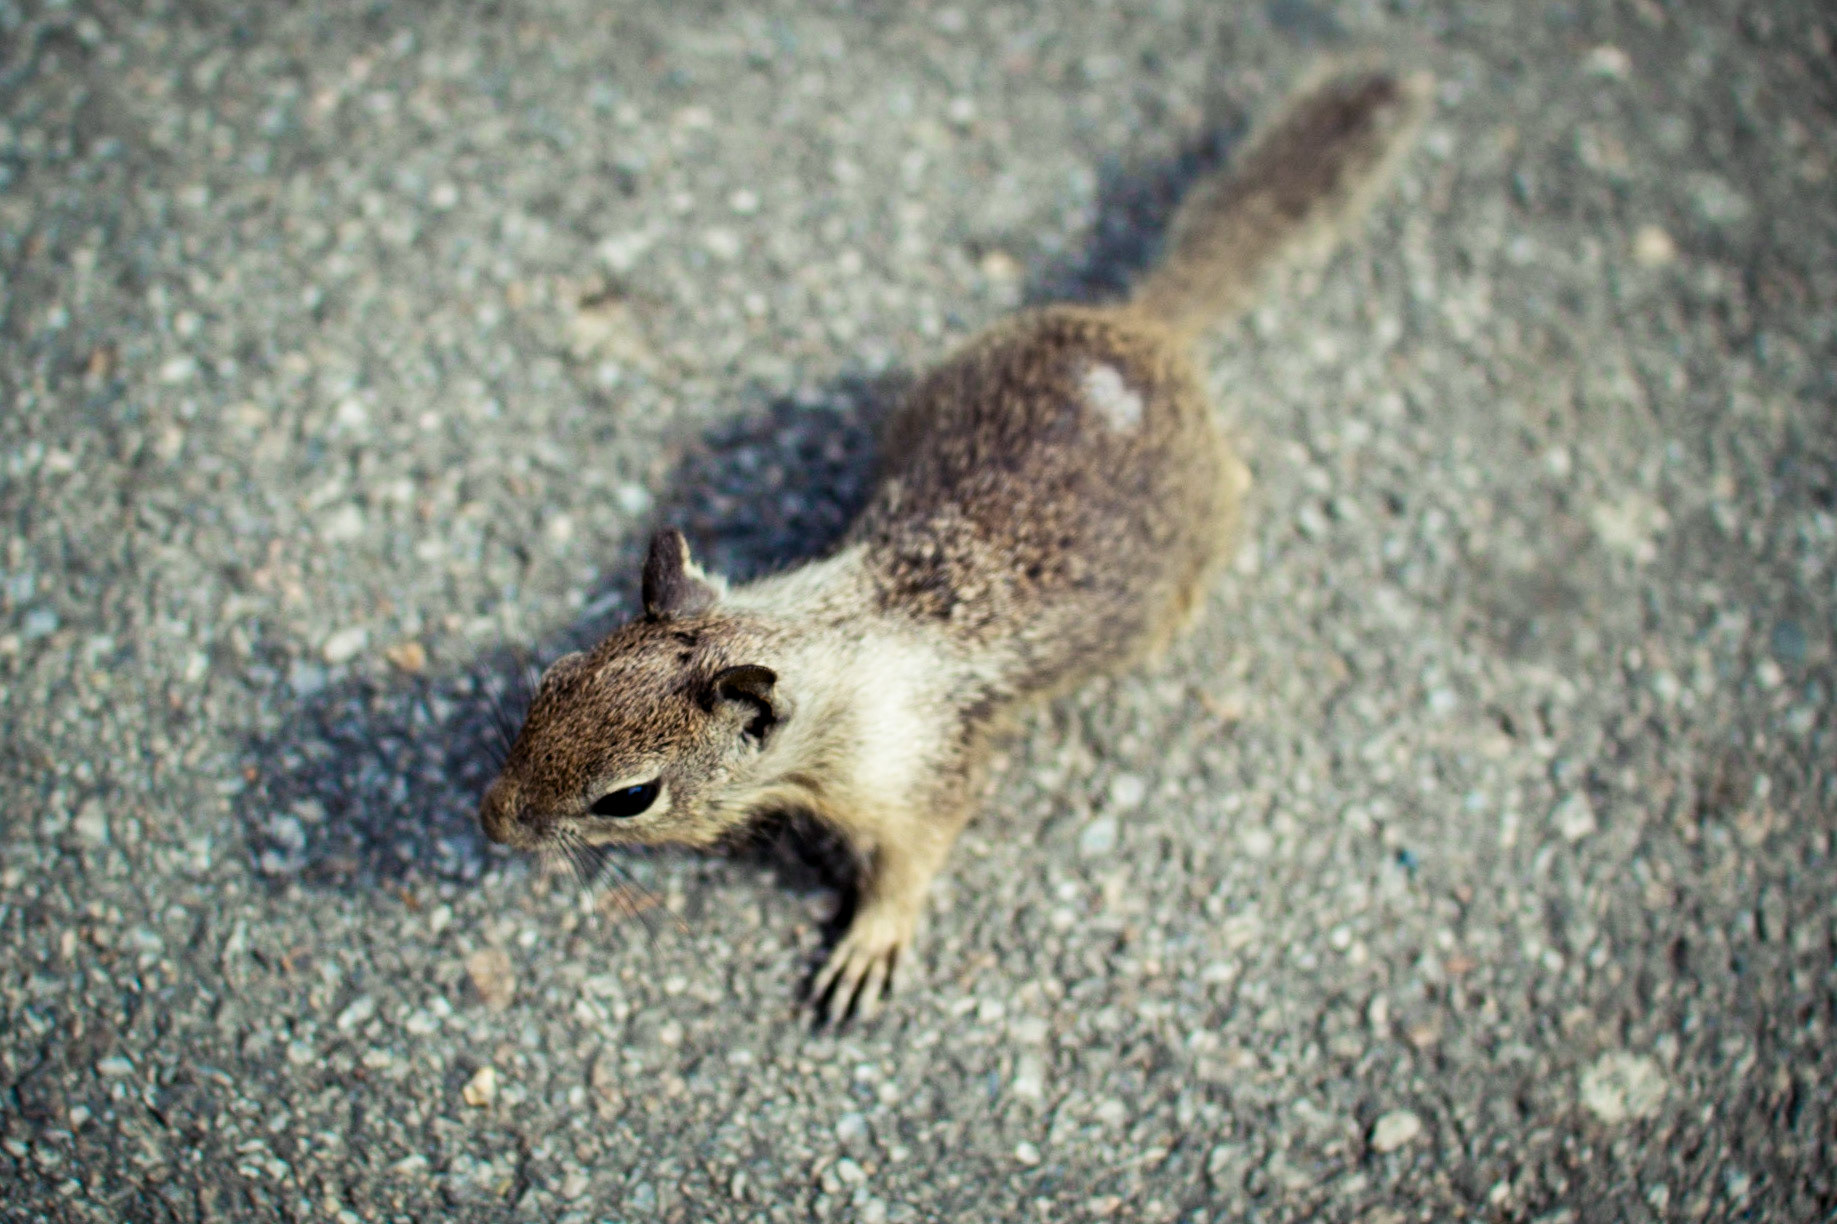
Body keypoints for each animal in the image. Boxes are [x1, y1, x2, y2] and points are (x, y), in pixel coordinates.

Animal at [478, 68, 1430, 1021]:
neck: (824, 635)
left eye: (630, 797)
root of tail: (1144, 330)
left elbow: (914, 862)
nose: (490, 817)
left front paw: (869, 944)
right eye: (555, 676)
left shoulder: (919, 776)